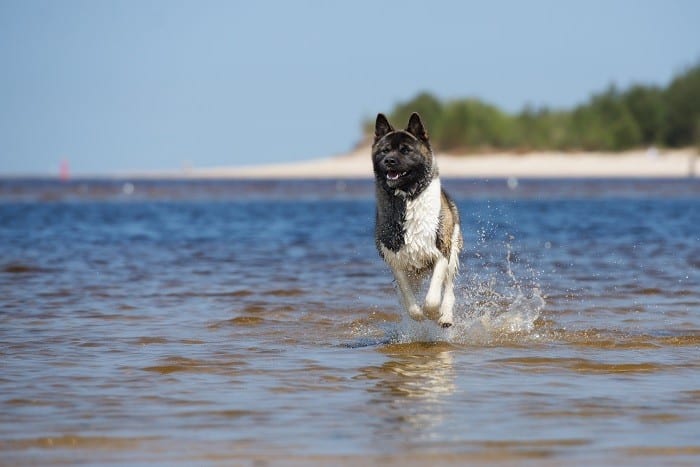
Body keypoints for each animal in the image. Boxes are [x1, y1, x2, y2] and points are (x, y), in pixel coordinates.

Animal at [372, 112, 464, 330]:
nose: (389, 161)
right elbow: (408, 299)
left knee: (448, 291)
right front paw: (418, 315)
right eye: (384, 150)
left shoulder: (442, 252)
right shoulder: (396, 261)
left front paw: (433, 313)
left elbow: (432, 298)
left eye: (405, 150)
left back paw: (446, 317)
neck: (407, 199)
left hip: (453, 253)